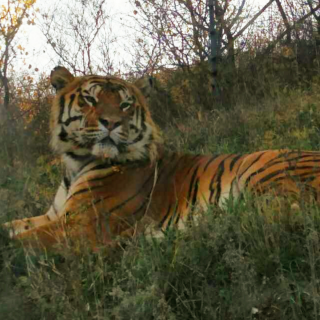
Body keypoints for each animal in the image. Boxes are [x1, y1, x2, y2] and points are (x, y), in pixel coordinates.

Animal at [3, 65, 320, 250]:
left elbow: (20, 242)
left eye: (125, 105)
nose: (111, 122)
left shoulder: (81, 226)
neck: (75, 165)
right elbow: (13, 225)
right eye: (90, 99)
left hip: (262, 170)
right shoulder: (53, 215)